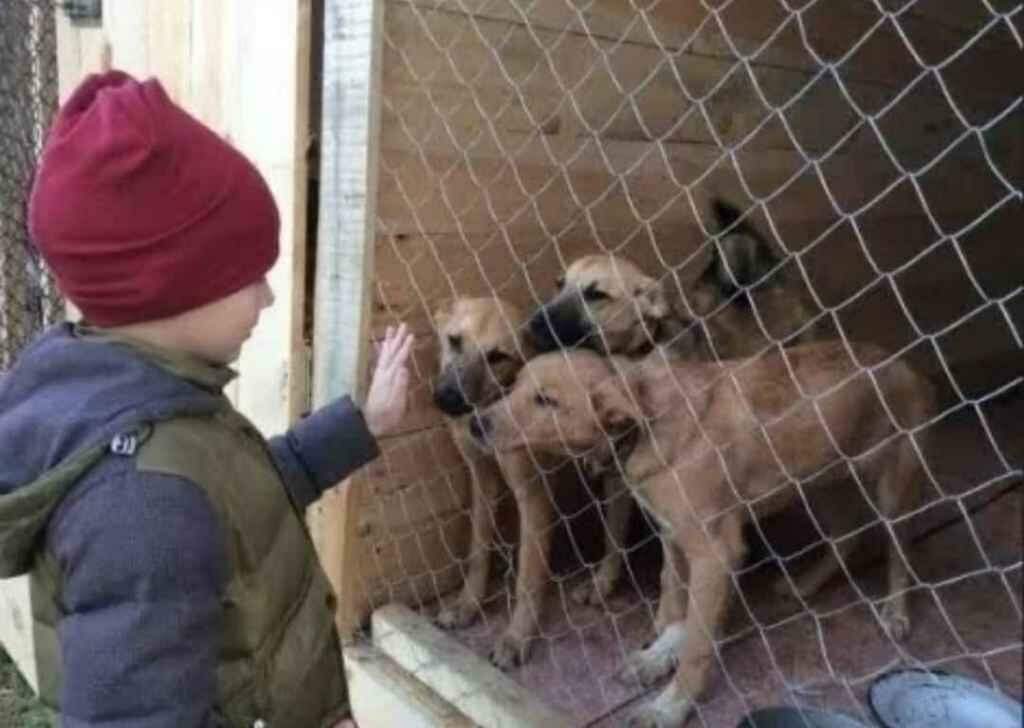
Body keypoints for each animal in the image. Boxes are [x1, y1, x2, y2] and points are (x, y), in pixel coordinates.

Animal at [471, 344, 937, 724]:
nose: (475, 424)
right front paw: (657, 657)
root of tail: (899, 360)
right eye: (514, 385)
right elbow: (676, 602)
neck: (645, 423)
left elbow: (697, 640)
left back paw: (896, 611)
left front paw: (670, 705)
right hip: (820, 484)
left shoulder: (715, 552)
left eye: (546, 400)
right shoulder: (674, 536)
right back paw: (802, 585)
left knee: (901, 548)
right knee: (846, 534)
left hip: (894, 487)